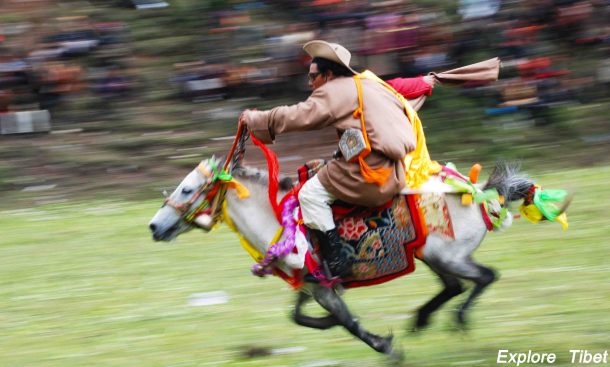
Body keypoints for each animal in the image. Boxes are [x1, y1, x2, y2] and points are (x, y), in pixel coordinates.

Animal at [148, 128, 560, 360]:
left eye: (187, 189)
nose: (154, 226)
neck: (277, 217)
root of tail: (480, 194)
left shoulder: (321, 285)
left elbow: (347, 322)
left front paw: (386, 346)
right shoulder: (312, 284)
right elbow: (302, 317)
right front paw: (338, 325)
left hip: (448, 255)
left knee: (484, 277)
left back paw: (456, 319)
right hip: (431, 255)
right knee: (456, 285)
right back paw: (422, 319)